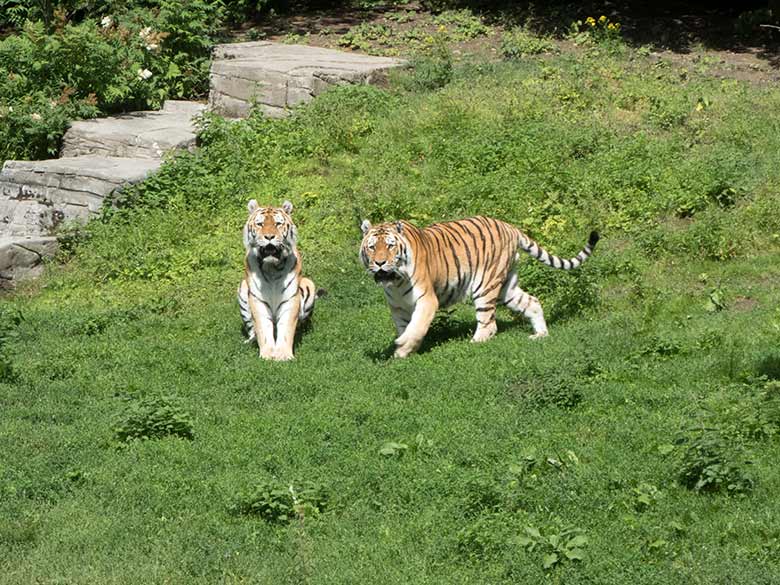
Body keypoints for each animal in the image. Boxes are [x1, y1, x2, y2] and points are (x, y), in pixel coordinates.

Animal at [239, 198, 322, 358]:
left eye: (278, 223)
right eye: (260, 224)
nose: (269, 237)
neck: (271, 268)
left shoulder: (290, 298)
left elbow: (286, 328)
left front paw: (283, 355)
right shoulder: (257, 299)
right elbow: (263, 329)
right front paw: (267, 355)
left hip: (309, 284)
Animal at [356, 217, 600, 358]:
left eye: (390, 246)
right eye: (372, 247)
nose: (380, 263)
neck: (396, 282)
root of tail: (510, 227)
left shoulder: (427, 299)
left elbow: (416, 327)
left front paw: (403, 345)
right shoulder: (397, 307)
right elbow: (404, 326)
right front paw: (403, 352)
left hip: (485, 284)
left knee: (489, 324)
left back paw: (475, 342)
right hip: (507, 288)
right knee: (532, 301)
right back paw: (540, 335)